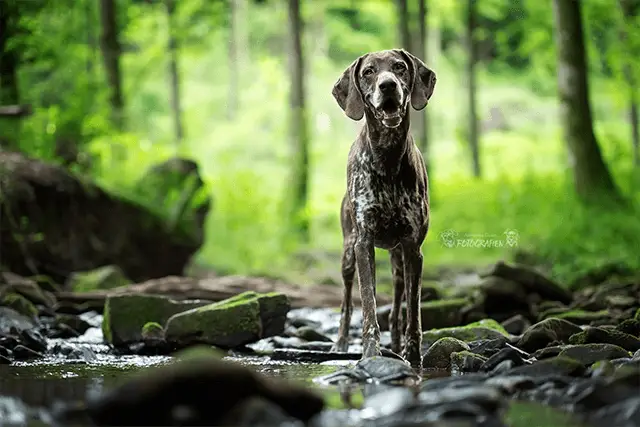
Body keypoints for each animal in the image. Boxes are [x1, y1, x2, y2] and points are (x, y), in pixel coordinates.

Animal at [330, 48, 436, 370]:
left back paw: (397, 342)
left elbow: (412, 309)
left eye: (400, 67)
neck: (387, 156)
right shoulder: (364, 244)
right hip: (348, 254)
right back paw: (341, 342)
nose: (387, 85)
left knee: (398, 301)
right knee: (348, 301)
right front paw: (370, 354)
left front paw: (412, 356)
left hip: (397, 259)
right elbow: (367, 302)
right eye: (368, 72)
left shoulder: (413, 248)